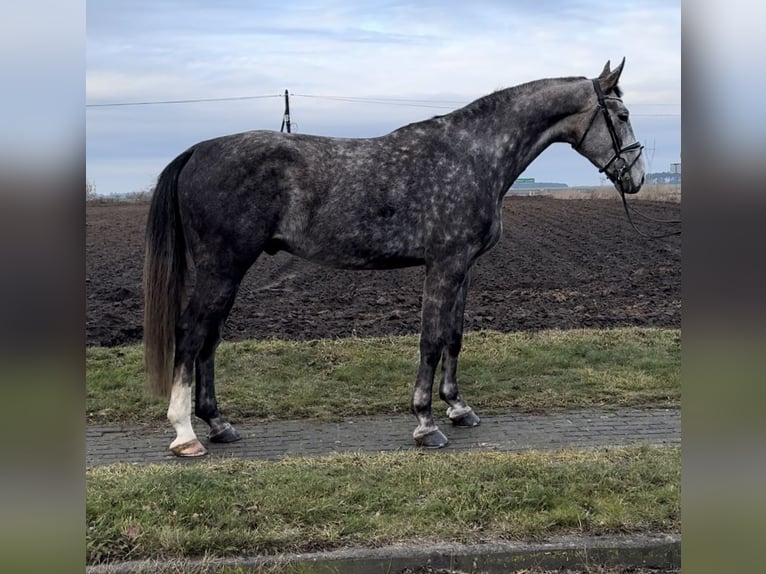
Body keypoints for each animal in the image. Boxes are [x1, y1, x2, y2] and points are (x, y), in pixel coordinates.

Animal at [146, 58, 648, 460]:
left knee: (209, 341)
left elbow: (454, 338)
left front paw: (458, 408)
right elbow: (430, 340)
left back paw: (218, 424)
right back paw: (185, 434)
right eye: (621, 115)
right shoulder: (443, 265)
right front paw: (426, 423)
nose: (637, 177)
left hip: (228, 272)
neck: (471, 156)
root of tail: (197, 151)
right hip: (222, 268)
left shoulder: (463, 269)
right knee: (191, 335)